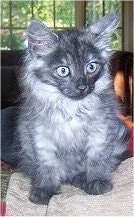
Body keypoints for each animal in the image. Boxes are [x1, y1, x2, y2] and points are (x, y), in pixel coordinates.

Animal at [16, 14, 129, 205]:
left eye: (91, 67)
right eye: (63, 70)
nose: (82, 87)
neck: (71, 107)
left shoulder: (101, 131)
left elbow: (97, 159)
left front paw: (96, 181)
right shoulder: (40, 135)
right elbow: (48, 165)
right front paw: (45, 189)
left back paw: (81, 179)